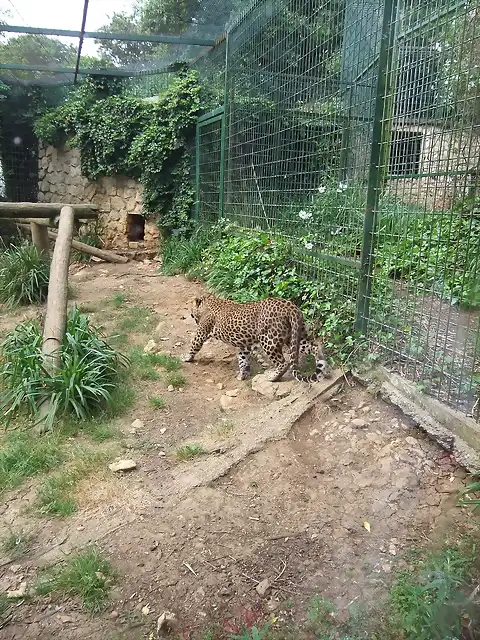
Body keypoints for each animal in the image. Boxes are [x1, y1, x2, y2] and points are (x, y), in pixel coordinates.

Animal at [182, 292, 332, 382]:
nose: (190, 312)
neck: (209, 301)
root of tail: (291, 307)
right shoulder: (244, 345)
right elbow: (243, 359)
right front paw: (243, 374)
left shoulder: (201, 332)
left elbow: (194, 345)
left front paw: (186, 358)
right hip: (295, 336)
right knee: (314, 346)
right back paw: (323, 367)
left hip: (268, 340)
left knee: (283, 362)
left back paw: (273, 377)